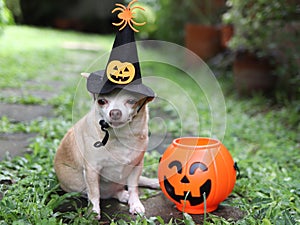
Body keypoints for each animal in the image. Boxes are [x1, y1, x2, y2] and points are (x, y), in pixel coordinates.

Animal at [53, 74, 158, 220]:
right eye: (101, 101)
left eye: (131, 101)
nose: (115, 112)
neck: (121, 137)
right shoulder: (92, 170)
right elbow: (94, 193)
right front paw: (94, 212)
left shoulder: (136, 166)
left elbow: (134, 187)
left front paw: (135, 204)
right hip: (76, 187)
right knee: (98, 193)